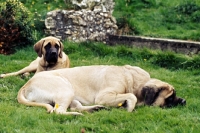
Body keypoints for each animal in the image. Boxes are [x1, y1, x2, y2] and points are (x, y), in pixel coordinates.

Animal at [17, 65, 186, 115]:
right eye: (170, 97)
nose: (184, 101)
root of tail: (26, 85)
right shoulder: (106, 95)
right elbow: (131, 96)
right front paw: (129, 107)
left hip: (71, 95)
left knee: (76, 106)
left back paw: (95, 109)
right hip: (65, 88)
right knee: (59, 111)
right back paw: (77, 115)